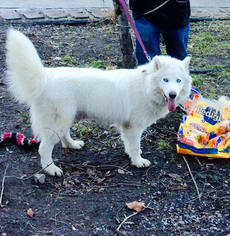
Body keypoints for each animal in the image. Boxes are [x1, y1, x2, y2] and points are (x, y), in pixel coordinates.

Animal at [5, 29, 192, 175]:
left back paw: (72, 145)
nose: (173, 95)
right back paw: (51, 170)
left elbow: (130, 146)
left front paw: (132, 156)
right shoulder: (133, 128)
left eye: (178, 81)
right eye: (165, 80)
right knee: (44, 148)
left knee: (64, 136)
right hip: (57, 123)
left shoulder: (127, 127)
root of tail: (45, 78)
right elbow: (135, 146)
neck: (145, 86)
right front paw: (138, 162)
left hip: (66, 118)